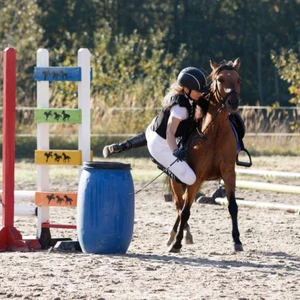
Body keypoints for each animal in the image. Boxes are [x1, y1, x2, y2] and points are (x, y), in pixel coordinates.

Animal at [168, 58, 243, 253]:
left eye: (238, 80)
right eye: (220, 80)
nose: (233, 102)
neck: (214, 133)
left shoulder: (228, 174)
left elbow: (233, 206)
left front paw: (237, 240)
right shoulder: (196, 177)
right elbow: (185, 210)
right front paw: (177, 243)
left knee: (183, 204)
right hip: (177, 180)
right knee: (179, 205)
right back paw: (175, 236)